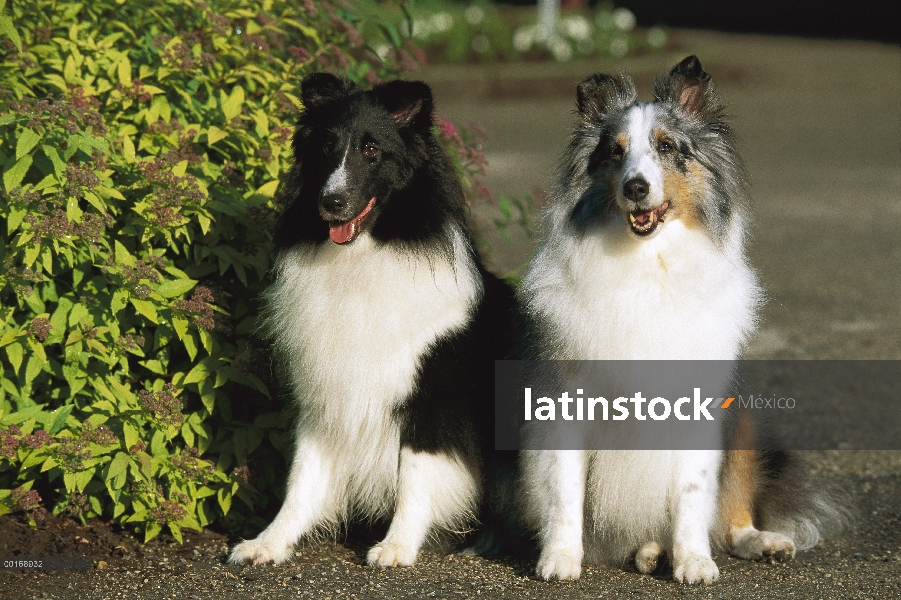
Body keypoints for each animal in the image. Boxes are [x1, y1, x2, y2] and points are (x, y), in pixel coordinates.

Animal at [229, 74, 512, 568]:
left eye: (372, 150)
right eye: (326, 146)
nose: (331, 202)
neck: (364, 255)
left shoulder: (429, 399)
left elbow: (414, 475)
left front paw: (397, 546)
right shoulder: (325, 395)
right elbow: (302, 478)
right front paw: (268, 542)